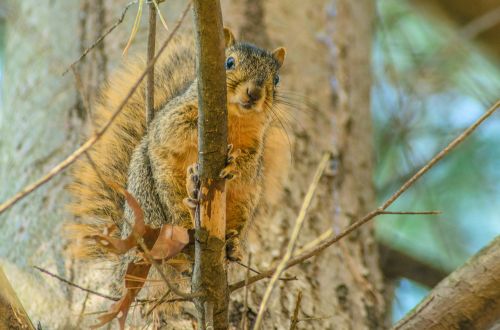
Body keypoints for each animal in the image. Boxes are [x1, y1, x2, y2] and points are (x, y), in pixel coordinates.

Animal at [69, 29, 292, 274]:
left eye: (277, 79)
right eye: (229, 62)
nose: (254, 92)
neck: (233, 120)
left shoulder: (255, 147)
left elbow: (248, 167)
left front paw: (233, 164)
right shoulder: (170, 120)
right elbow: (176, 129)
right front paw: (199, 127)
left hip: (245, 203)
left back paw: (231, 246)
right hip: (154, 195)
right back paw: (191, 200)